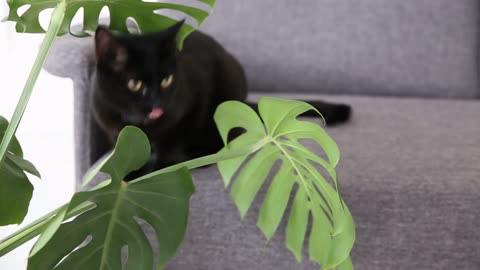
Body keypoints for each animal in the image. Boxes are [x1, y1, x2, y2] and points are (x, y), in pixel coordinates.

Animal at [92, 22, 350, 178]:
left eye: (167, 80)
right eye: (134, 84)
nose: (157, 103)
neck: (142, 125)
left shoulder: (190, 106)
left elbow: (173, 143)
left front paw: (162, 169)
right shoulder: (111, 125)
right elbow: (125, 149)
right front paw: (129, 172)